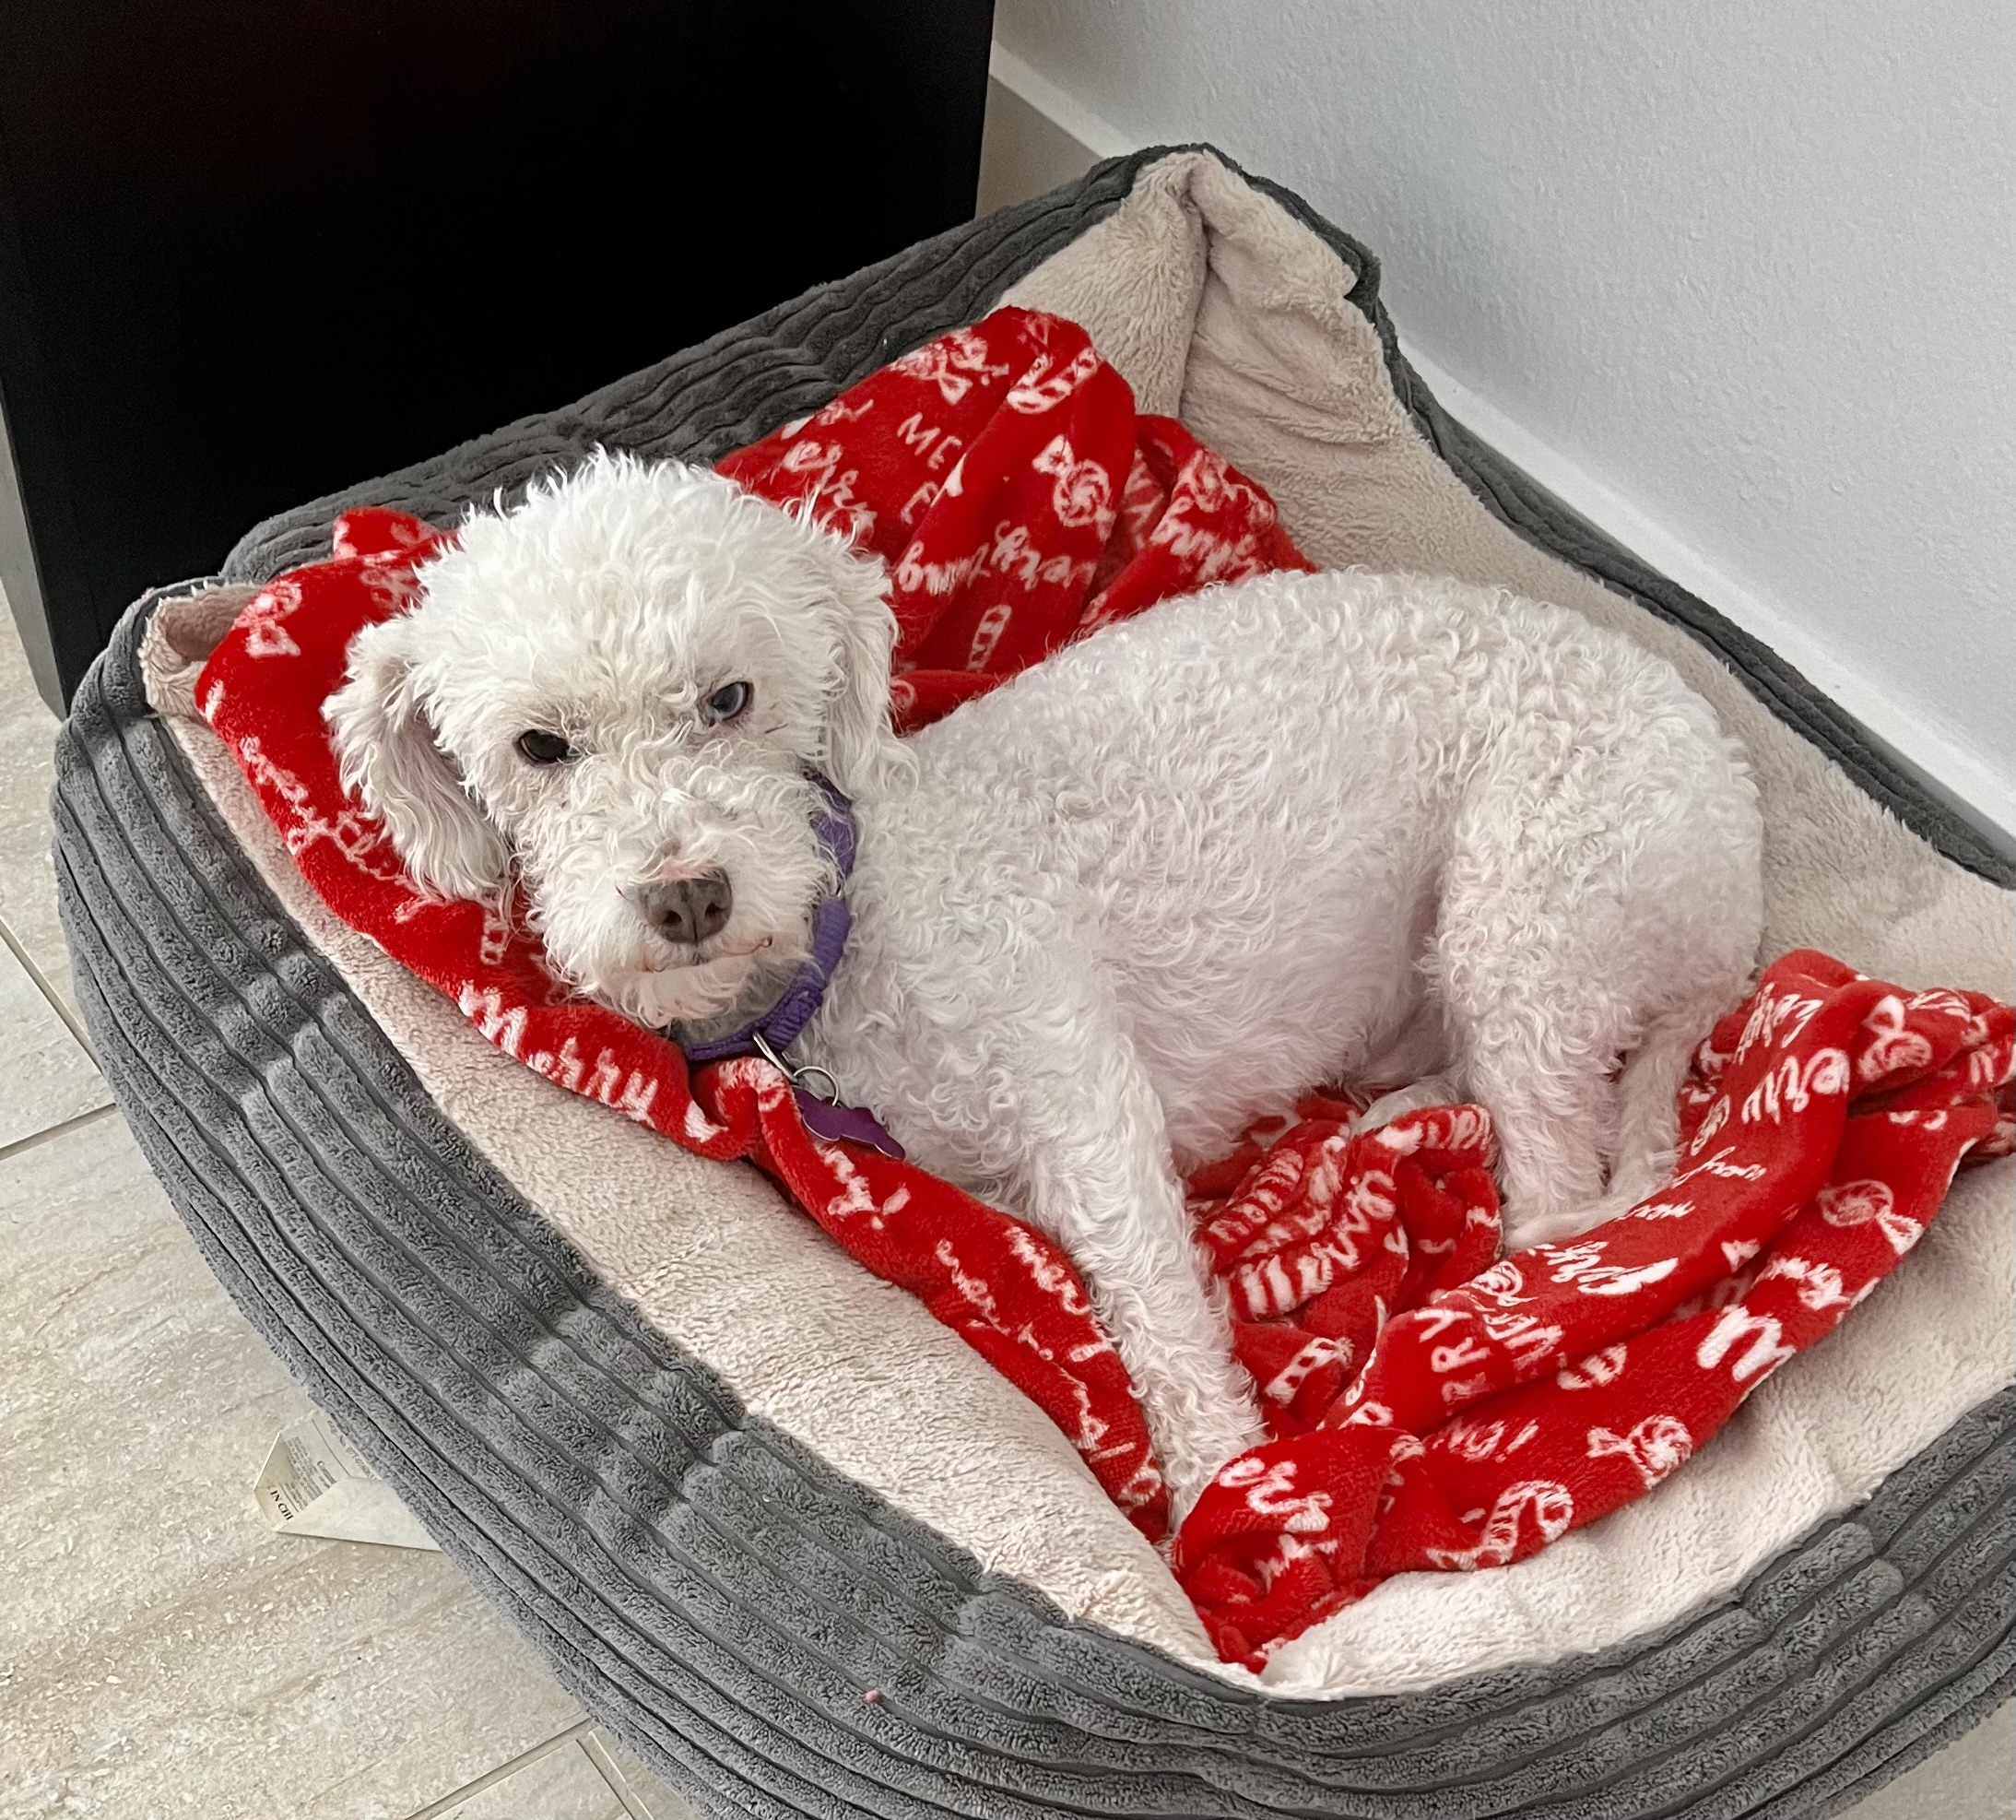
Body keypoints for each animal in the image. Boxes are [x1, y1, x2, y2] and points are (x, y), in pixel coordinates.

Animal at [326, 452, 1764, 1510]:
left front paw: (1224, 1491)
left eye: (729, 697)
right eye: (539, 747)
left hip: (1527, 909)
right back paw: (1394, 1124)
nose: (687, 893)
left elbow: (1164, 1323)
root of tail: (1735, 828)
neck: (854, 923)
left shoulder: (1083, 1103)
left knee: (1559, 1190)